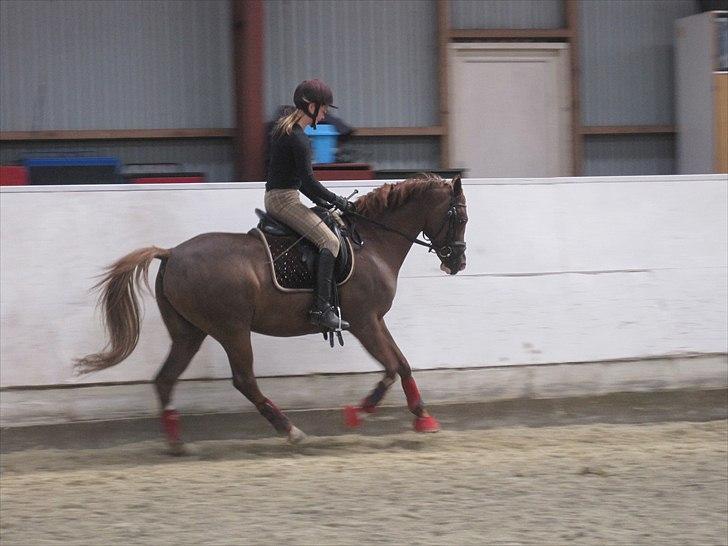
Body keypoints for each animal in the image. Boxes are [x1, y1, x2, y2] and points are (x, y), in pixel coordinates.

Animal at [77, 174, 470, 450]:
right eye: (461, 217)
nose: (458, 263)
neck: (371, 243)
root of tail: (172, 253)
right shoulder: (362, 321)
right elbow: (389, 368)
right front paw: (357, 414)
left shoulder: (375, 319)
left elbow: (402, 364)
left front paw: (424, 418)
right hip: (232, 329)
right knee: (244, 380)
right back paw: (291, 431)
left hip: (189, 332)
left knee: (165, 379)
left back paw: (176, 443)